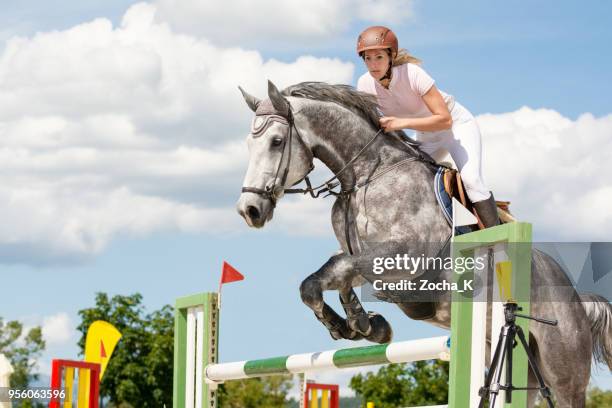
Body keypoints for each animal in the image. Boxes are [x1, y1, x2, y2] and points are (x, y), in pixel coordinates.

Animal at [235, 80, 612, 408]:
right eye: (249, 145)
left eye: (277, 141)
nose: (248, 210)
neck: (366, 175)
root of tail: (578, 301)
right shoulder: (364, 258)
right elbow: (327, 276)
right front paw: (361, 324)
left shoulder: (404, 259)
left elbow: (333, 270)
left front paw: (358, 323)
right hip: (516, 364)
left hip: (563, 371)